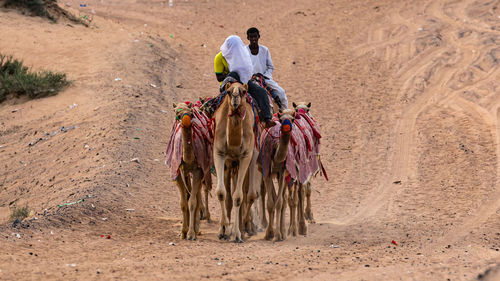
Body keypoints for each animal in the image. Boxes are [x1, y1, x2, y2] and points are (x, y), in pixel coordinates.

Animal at [166, 101, 213, 240]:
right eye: (177, 114)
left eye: (191, 114)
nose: (185, 120)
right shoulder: (178, 171)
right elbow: (183, 203)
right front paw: (183, 231)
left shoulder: (198, 170)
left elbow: (192, 202)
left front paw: (191, 233)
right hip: (186, 173)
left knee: (196, 195)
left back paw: (197, 227)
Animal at [212, 80, 258, 241]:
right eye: (228, 92)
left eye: (244, 91)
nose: (235, 98)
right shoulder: (219, 153)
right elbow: (221, 193)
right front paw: (224, 229)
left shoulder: (245, 156)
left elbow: (238, 196)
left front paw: (237, 234)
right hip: (229, 164)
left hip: (252, 157)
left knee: (248, 194)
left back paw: (246, 227)